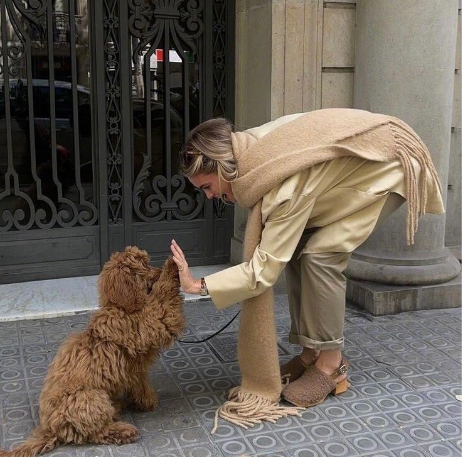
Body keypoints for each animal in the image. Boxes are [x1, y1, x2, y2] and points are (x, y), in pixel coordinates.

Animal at [0, 246, 184, 457]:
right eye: (143, 265)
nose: (158, 271)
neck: (122, 308)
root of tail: (50, 428)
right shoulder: (153, 321)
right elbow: (164, 298)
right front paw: (174, 264)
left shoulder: (135, 369)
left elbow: (140, 382)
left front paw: (145, 401)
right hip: (91, 398)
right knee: (97, 432)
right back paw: (123, 430)